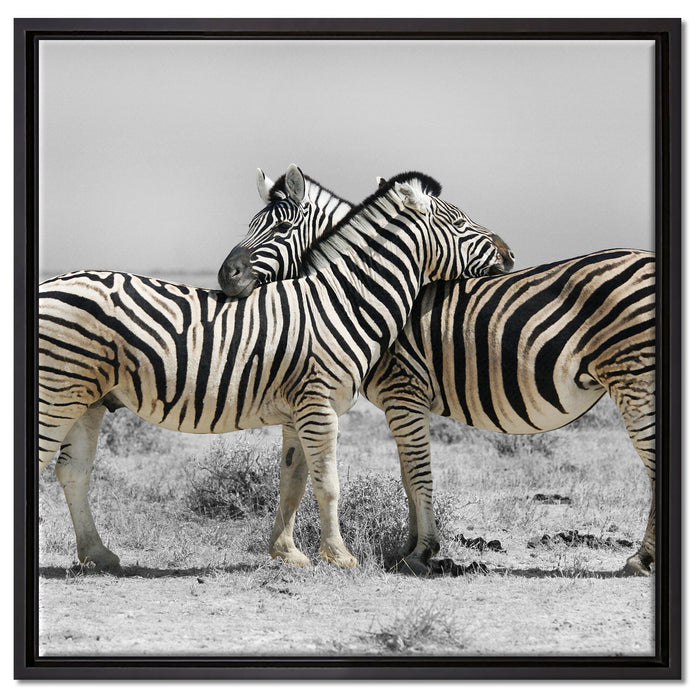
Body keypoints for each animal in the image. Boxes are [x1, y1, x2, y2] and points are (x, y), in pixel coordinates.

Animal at [39, 167, 509, 571]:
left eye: (281, 229)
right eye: (461, 224)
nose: (508, 253)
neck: (341, 302)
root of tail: (50, 283)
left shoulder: (298, 410)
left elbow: (293, 482)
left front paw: (288, 553)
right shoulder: (319, 406)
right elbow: (328, 483)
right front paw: (340, 556)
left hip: (88, 400)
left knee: (72, 471)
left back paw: (99, 554)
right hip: (56, 393)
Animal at [218, 171, 655, 578]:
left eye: (280, 228)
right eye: (252, 224)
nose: (225, 276)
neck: (356, 294)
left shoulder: (403, 392)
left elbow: (418, 474)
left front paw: (421, 552)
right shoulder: (401, 403)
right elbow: (407, 476)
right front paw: (408, 548)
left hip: (633, 378)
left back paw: (641, 559)